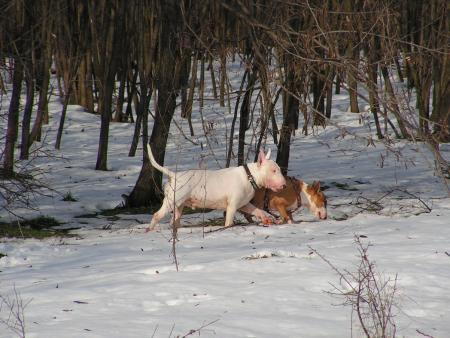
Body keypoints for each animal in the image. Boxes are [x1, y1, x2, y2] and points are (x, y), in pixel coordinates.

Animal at [145, 144, 284, 231]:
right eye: (273, 170)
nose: (284, 185)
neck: (249, 176)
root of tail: (174, 175)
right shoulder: (232, 206)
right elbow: (228, 221)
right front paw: (227, 228)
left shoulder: (243, 204)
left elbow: (257, 210)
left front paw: (267, 218)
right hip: (171, 201)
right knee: (156, 215)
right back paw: (149, 230)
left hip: (179, 205)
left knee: (174, 220)